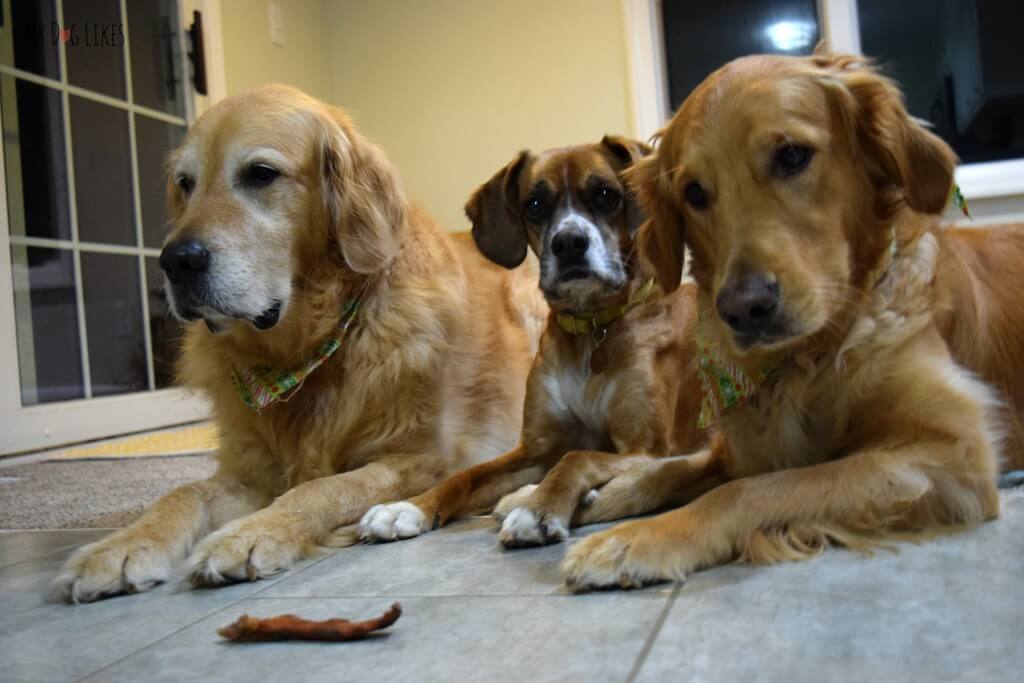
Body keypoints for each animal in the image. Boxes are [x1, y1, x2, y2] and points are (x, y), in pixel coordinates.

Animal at [51, 85, 548, 602]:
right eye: (185, 183)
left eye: (261, 174)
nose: (176, 261)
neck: (306, 350)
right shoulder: (250, 472)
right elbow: (182, 492)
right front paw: (122, 547)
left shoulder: (423, 458)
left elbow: (323, 488)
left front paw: (250, 535)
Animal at [358, 137, 712, 544]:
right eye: (535, 205)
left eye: (607, 195)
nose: (569, 242)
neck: (593, 331)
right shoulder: (535, 450)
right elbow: (466, 475)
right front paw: (409, 507)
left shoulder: (647, 448)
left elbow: (576, 458)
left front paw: (539, 509)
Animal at [561, 53, 1024, 589]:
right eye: (693, 192)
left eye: (792, 156)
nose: (744, 307)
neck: (811, 357)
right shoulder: (737, 449)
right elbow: (676, 467)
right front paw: (592, 496)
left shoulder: (954, 452)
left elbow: (754, 488)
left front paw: (637, 539)